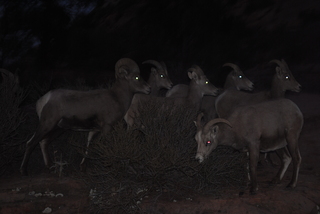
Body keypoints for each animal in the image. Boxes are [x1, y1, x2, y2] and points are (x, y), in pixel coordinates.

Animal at [21, 58, 151, 176]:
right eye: (136, 77)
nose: (148, 89)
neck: (117, 98)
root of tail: (43, 100)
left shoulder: (94, 130)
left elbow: (89, 147)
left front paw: (82, 168)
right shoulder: (107, 128)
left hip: (58, 129)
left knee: (43, 142)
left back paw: (50, 167)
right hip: (47, 125)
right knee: (31, 143)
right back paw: (24, 171)